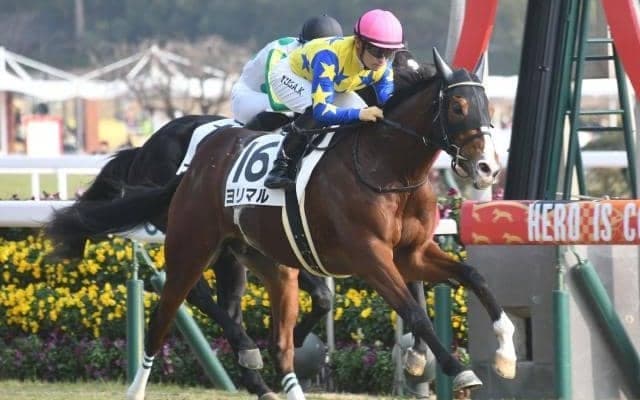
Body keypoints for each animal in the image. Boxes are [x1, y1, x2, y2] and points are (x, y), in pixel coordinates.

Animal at [46, 48, 516, 399]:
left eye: (489, 107)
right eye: (457, 106)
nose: (488, 168)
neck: (388, 168)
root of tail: (189, 165)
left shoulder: (412, 253)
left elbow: (471, 275)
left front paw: (505, 350)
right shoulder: (370, 257)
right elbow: (414, 313)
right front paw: (458, 369)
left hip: (251, 257)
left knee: (240, 312)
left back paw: (260, 371)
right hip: (193, 247)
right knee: (177, 306)